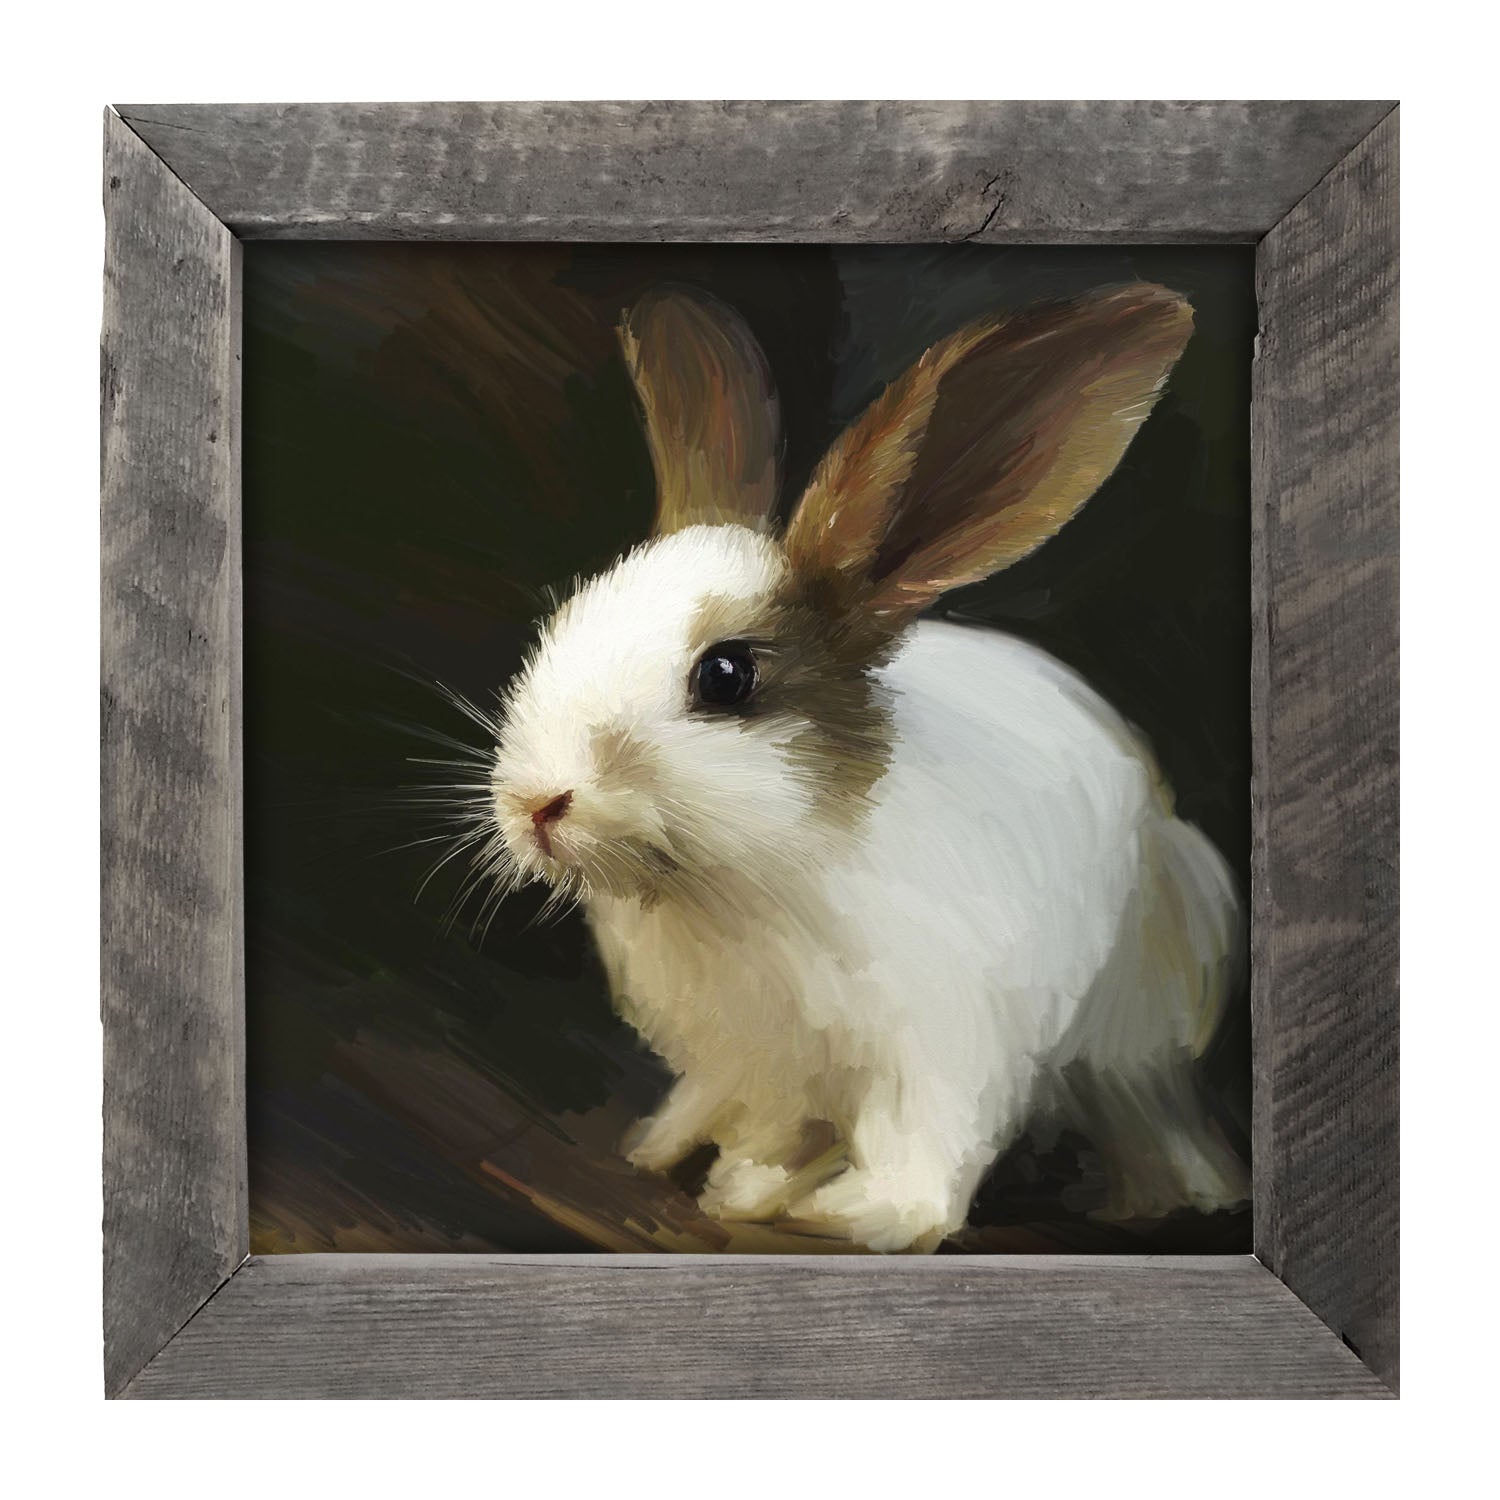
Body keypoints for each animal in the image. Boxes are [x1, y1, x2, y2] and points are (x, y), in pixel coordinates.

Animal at [481, 282, 1250, 1251]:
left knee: (1146, 1113)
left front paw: (857, 1215)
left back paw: (1164, 1199)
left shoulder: (941, 1047)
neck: (741, 883)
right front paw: (741, 1187)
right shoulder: (755, 1063)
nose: (535, 804)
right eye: (567, 617)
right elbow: (769, 1128)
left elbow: (921, 1151)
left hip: (1138, 1033)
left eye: (726, 676)